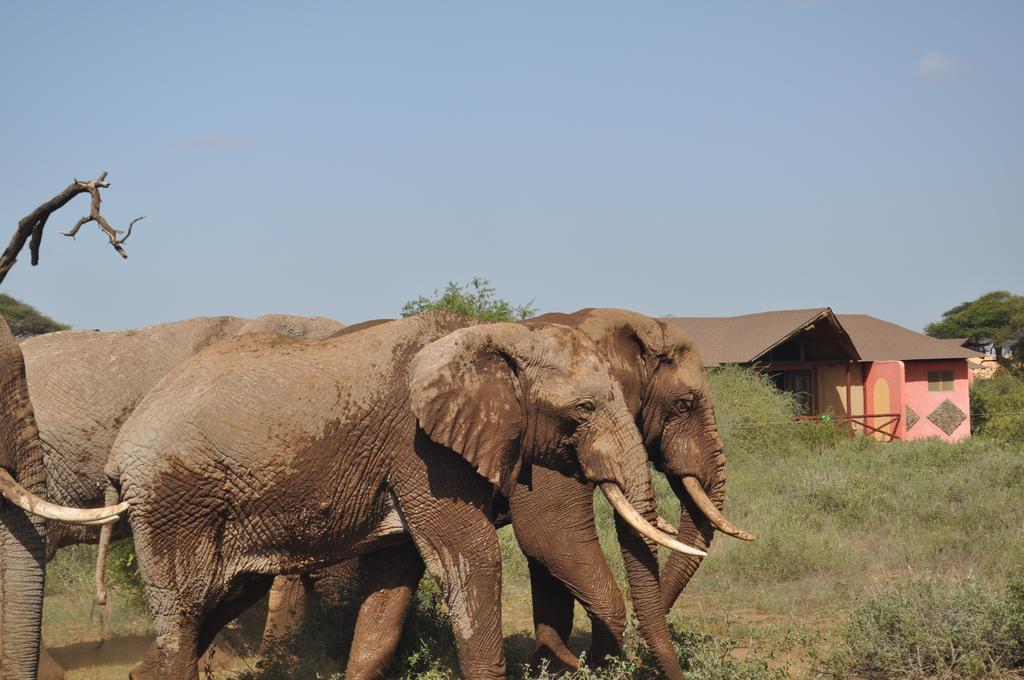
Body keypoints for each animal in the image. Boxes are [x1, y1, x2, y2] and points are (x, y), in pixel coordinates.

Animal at [105, 313, 704, 680]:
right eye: (583, 409)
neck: (499, 337)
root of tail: (122, 445)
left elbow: (394, 584)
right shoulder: (423, 452)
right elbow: (473, 559)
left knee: (219, 599)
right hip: (172, 499)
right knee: (184, 610)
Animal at [264, 307, 761, 680]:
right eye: (684, 404)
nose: (649, 662)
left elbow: (548, 560)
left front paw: (553, 667)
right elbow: (551, 538)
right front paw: (590, 667)